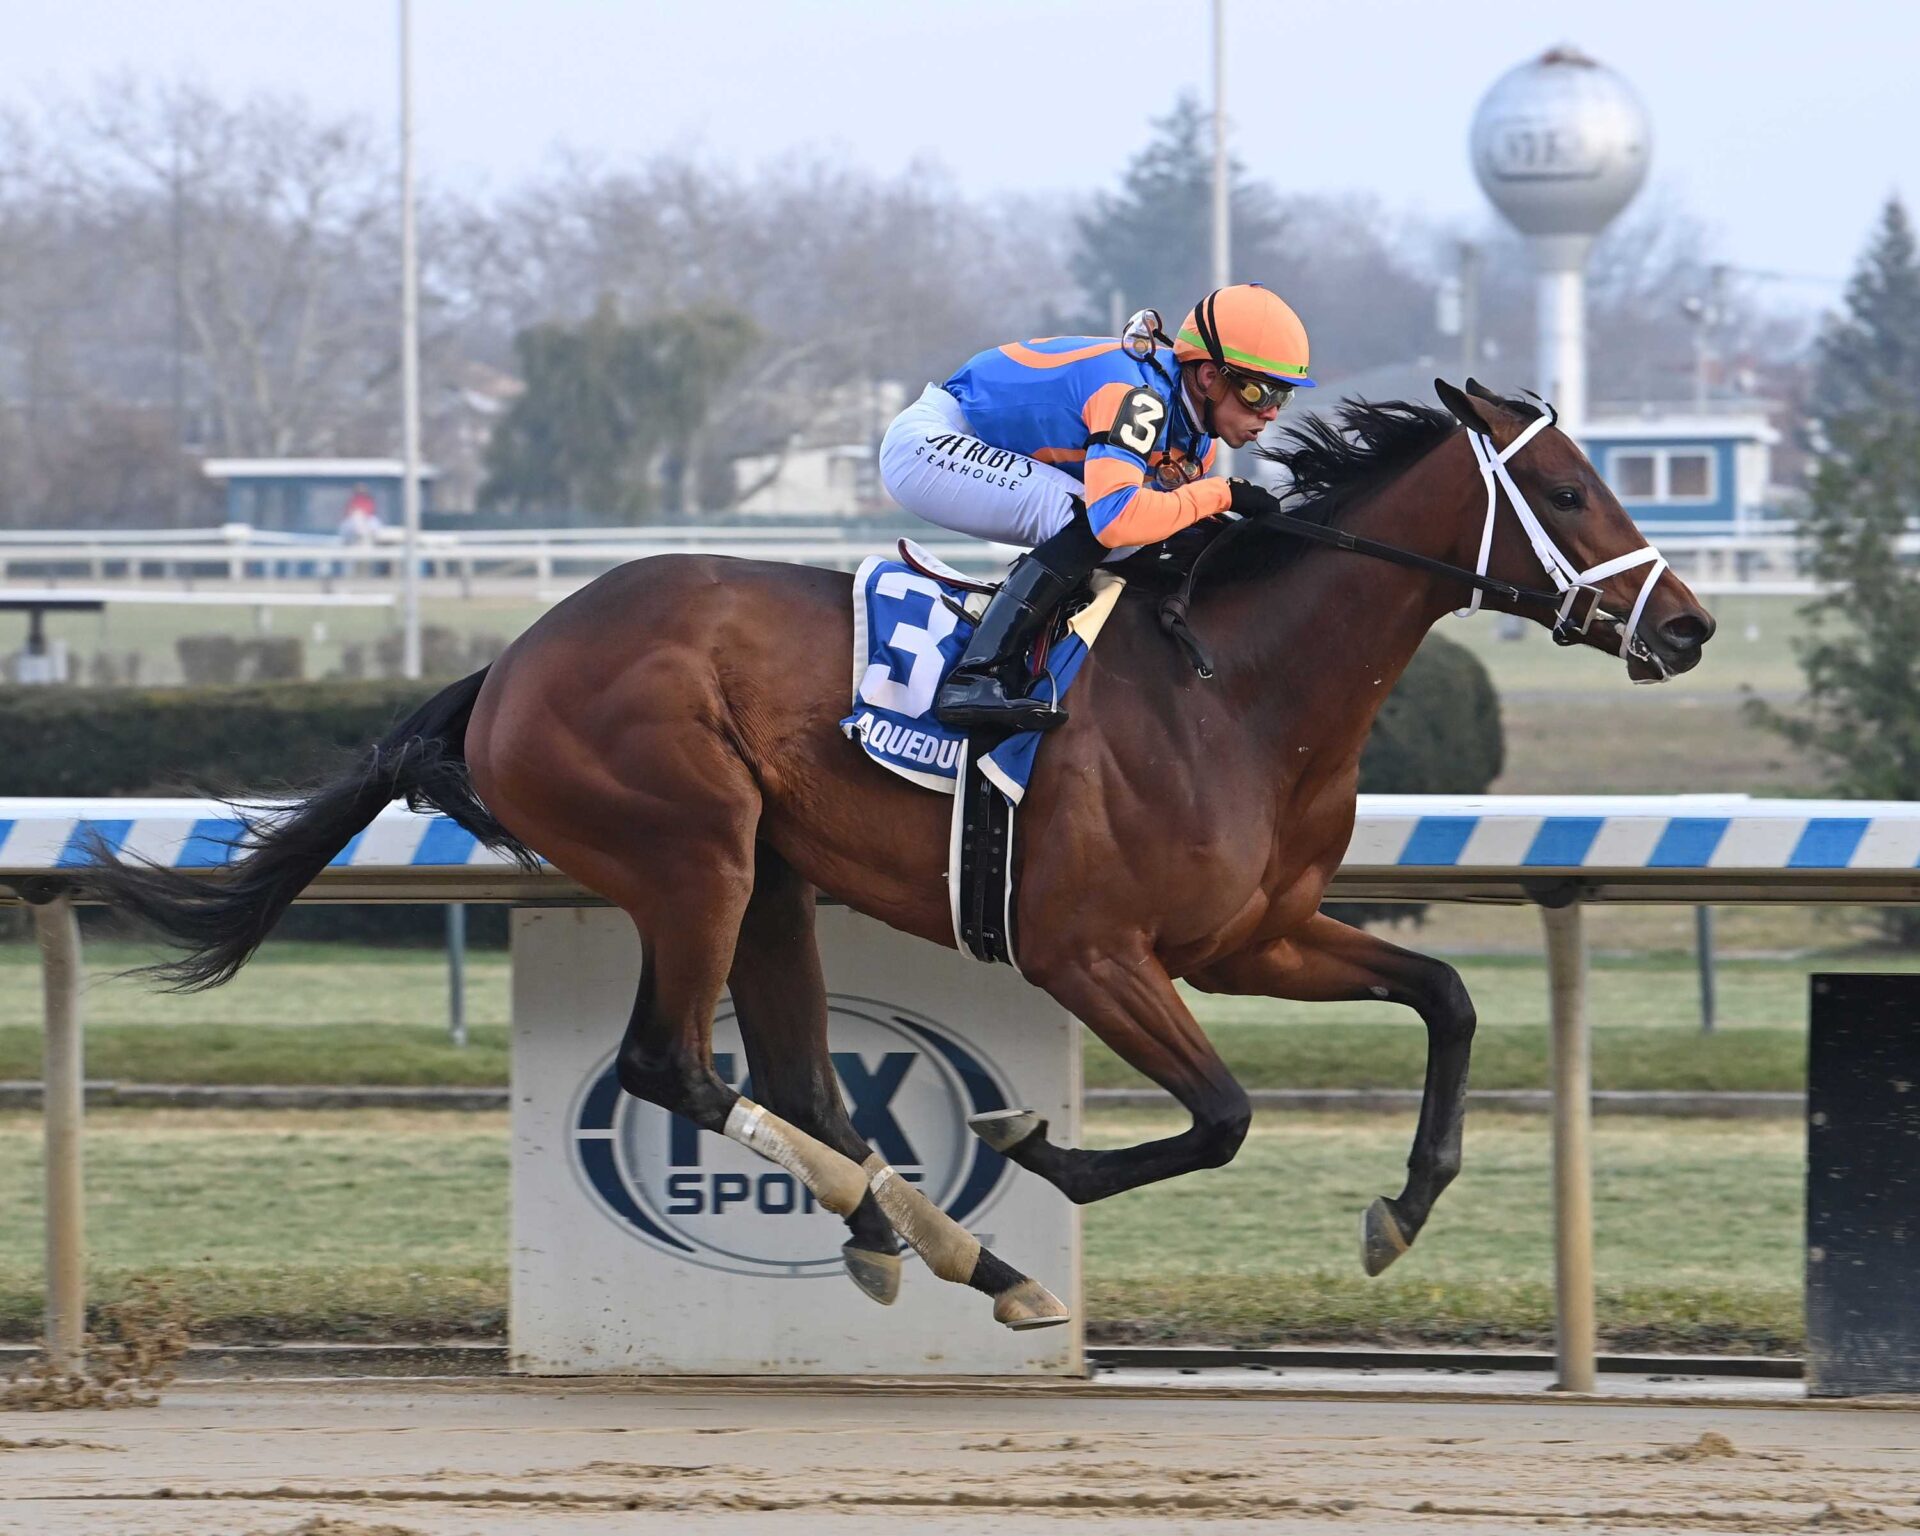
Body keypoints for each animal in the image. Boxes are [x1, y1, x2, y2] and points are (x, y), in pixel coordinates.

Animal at [83, 379, 1714, 1334]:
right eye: (1568, 491)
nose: (1691, 625)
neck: (1235, 688)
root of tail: (513, 664)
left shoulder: (1251, 937)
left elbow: (1444, 997)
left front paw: (1405, 1207)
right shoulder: (1092, 952)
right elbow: (1223, 1116)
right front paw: (1039, 1145)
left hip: (771, 881)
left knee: (800, 1079)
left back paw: (938, 1244)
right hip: (693, 853)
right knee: (676, 1065)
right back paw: (930, 1234)